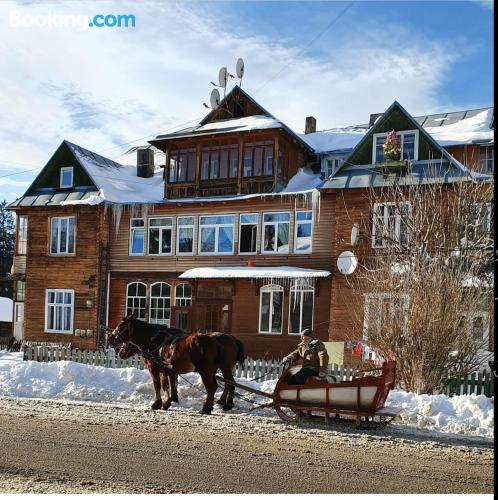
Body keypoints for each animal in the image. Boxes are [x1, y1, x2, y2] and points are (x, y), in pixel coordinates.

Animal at [107, 316, 245, 414]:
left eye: (120, 326)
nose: (110, 339)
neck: (155, 341)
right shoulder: (167, 369)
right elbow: (170, 383)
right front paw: (170, 400)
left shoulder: (155, 368)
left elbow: (159, 385)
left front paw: (158, 403)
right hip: (217, 369)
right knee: (229, 383)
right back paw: (224, 403)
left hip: (209, 370)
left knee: (215, 387)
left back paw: (207, 408)